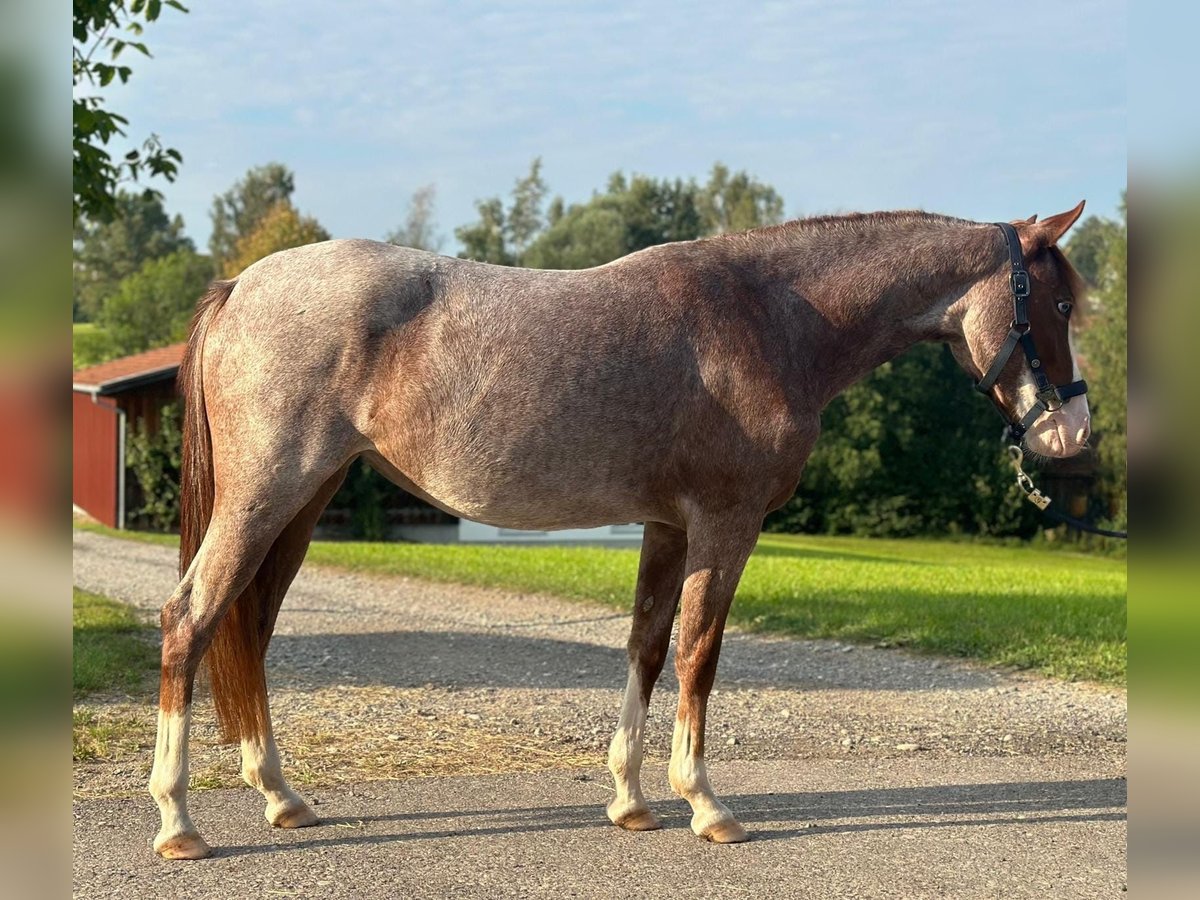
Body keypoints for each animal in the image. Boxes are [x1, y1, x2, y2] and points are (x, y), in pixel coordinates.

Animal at [145, 202, 1094, 859]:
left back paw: (281, 797)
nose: (1072, 436)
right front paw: (706, 804)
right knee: (191, 620)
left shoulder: (666, 528)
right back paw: (179, 821)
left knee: (249, 628)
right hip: (266, 497)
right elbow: (700, 653)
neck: (769, 317)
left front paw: (632, 801)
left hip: (301, 504)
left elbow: (646, 645)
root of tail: (242, 287)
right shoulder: (724, 526)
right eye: (1055, 304)